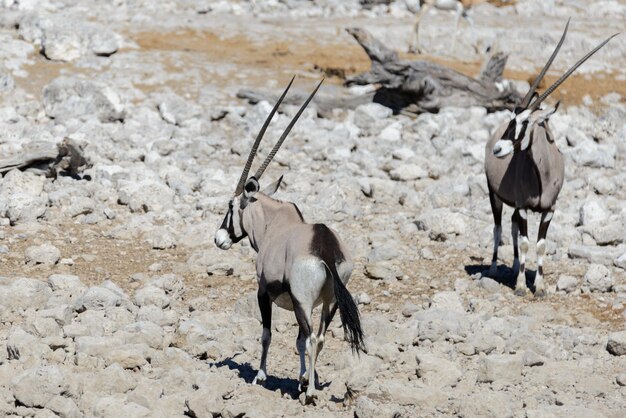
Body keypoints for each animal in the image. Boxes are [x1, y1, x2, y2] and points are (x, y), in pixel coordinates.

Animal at [213, 76, 364, 404]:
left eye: (231, 205)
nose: (219, 238)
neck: (275, 222)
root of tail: (325, 246)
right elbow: (296, 341)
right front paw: (301, 377)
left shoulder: (263, 292)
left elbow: (268, 334)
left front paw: (260, 375)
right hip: (329, 303)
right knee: (318, 337)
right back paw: (308, 385)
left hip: (303, 301)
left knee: (311, 338)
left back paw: (310, 393)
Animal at [482, 20, 616, 298]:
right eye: (512, 118)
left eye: (525, 122)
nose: (498, 149)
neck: (541, 174)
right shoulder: (523, 206)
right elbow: (525, 243)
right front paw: (522, 287)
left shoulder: (548, 210)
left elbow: (540, 244)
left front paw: (540, 286)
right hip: (494, 195)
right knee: (498, 227)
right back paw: (493, 268)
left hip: (513, 205)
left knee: (511, 227)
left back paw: (513, 267)